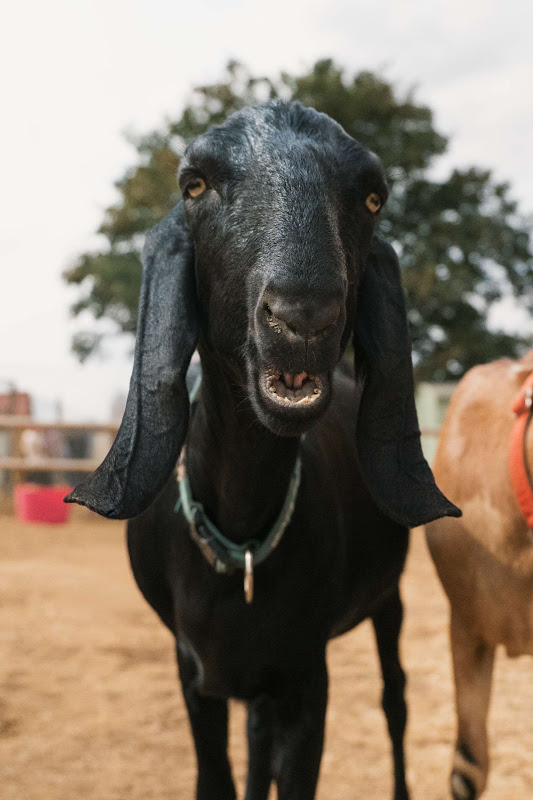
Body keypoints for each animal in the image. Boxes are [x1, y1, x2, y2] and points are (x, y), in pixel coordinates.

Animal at [67, 100, 459, 800]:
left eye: (372, 197)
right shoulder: (196, 673)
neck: (243, 540)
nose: (304, 317)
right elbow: (221, 775)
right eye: (194, 185)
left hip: (386, 601)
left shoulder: (306, 676)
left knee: (395, 698)